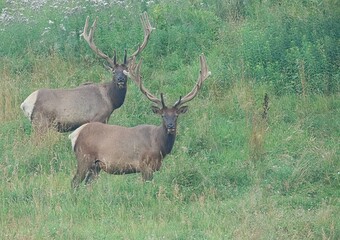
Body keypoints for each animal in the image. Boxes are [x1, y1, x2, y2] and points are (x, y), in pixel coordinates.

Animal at [19, 12, 154, 132]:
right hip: (41, 123)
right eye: (113, 71)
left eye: (126, 71)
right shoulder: (98, 118)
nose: (120, 79)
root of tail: (25, 104)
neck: (111, 100)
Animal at [69, 53, 210, 188]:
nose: (170, 126)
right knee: (74, 182)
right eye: (163, 115)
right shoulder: (145, 165)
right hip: (84, 158)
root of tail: (75, 134)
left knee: (88, 184)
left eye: (176, 115)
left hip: (96, 165)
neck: (159, 145)